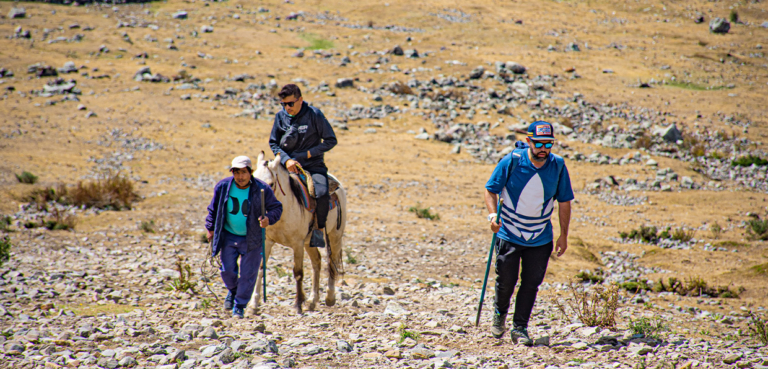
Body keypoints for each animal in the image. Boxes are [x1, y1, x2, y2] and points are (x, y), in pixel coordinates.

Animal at [246, 150, 348, 314]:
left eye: (271, 184)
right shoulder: (267, 241)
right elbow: (261, 268)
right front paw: (253, 305)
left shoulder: (297, 244)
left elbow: (298, 273)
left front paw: (298, 304)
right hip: (310, 242)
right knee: (317, 262)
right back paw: (312, 300)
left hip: (335, 236)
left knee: (332, 262)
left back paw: (329, 297)